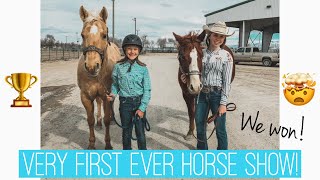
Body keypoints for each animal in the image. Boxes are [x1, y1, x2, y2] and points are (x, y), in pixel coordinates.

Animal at [77, 5, 121, 149]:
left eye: (104, 35)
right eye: (82, 35)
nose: (92, 67)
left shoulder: (107, 95)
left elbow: (107, 119)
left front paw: (108, 144)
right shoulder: (85, 96)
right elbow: (90, 120)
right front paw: (91, 144)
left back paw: (112, 119)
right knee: (98, 103)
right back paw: (99, 122)